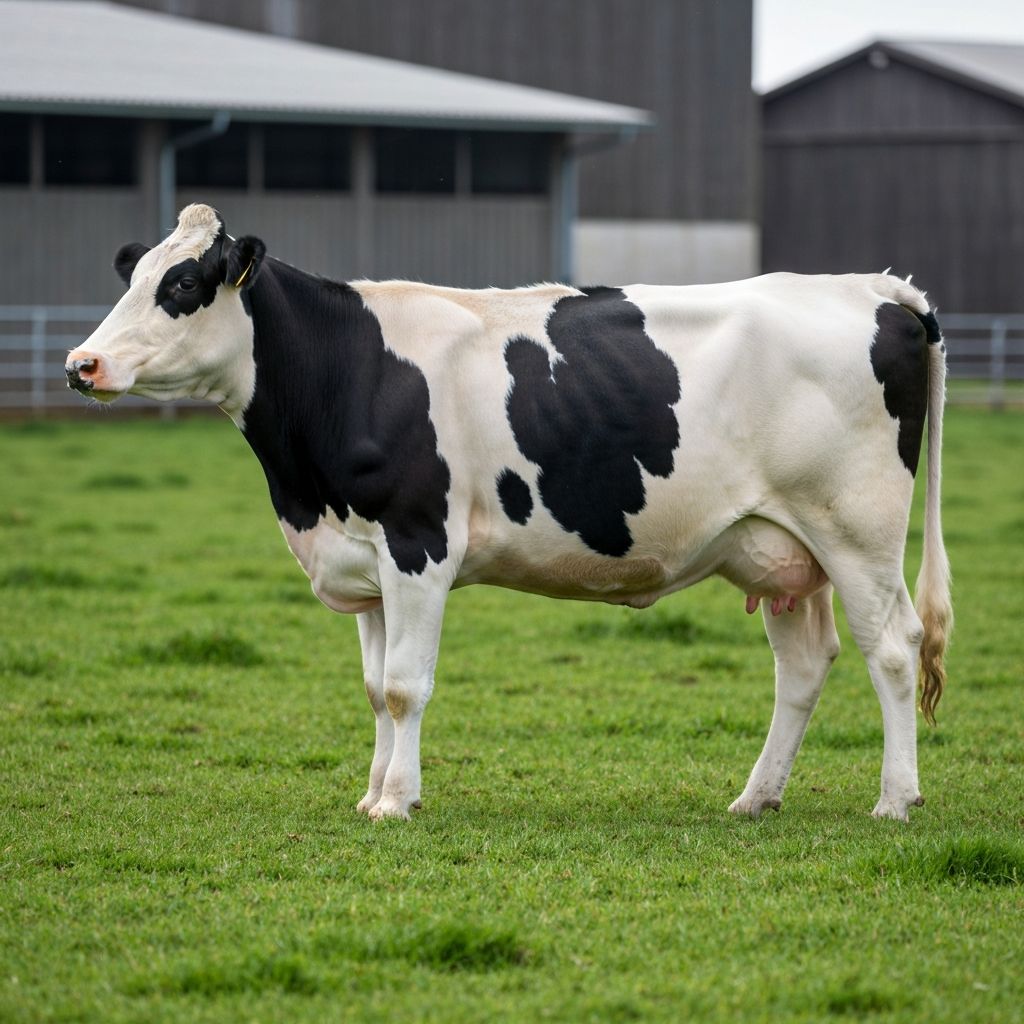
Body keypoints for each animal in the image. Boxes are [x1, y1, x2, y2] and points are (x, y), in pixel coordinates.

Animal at [66, 203, 952, 822]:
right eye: (132, 280)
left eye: (181, 286)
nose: (82, 363)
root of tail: (871, 287)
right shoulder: (364, 552)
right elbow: (372, 687)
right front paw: (374, 792)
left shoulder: (419, 542)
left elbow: (404, 687)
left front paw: (397, 802)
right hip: (782, 549)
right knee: (804, 665)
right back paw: (756, 797)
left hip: (858, 532)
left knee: (894, 650)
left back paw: (895, 798)